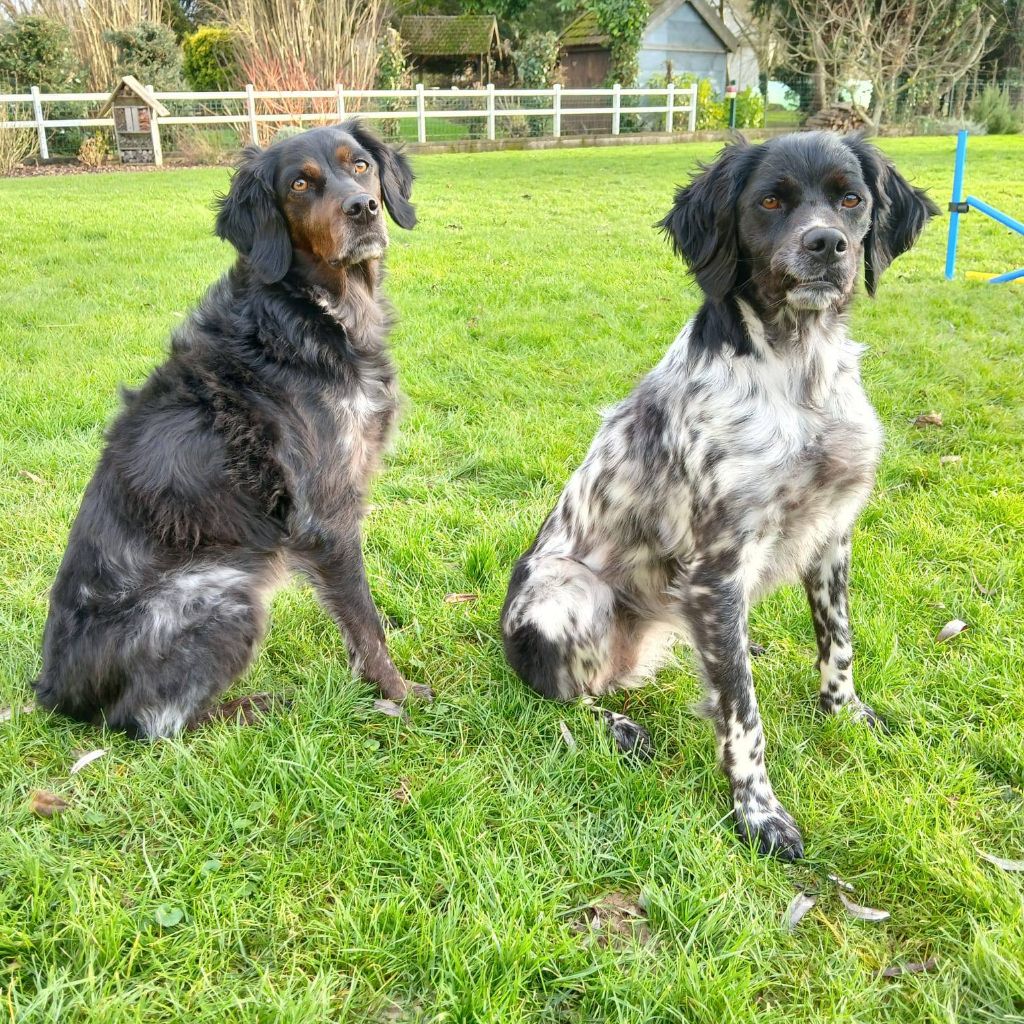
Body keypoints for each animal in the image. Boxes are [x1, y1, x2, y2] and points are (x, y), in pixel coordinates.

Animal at [35, 123, 428, 741]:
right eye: (299, 185)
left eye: (360, 165)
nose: (363, 208)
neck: (310, 314)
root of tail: (53, 691)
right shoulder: (325, 517)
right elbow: (365, 623)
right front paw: (398, 693)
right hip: (223, 592)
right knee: (150, 721)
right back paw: (258, 708)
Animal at [499, 132, 937, 860]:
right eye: (770, 202)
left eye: (851, 199)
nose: (827, 244)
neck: (800, 376)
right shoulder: (716, 568)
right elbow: (742, 714)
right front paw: (757, 812)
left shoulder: (831, 534)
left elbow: (838, 642)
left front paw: (844, 713)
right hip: (570, 593)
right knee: (565, 694)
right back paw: (616, 724)